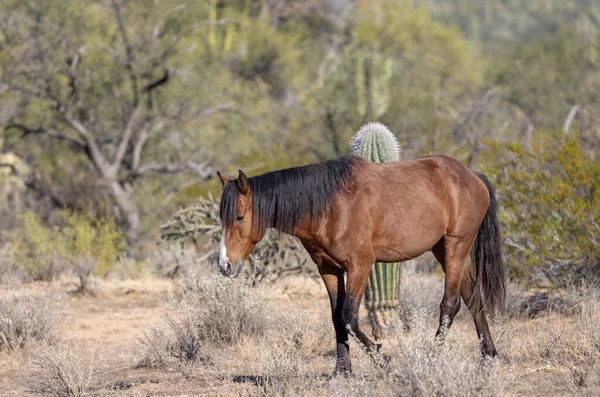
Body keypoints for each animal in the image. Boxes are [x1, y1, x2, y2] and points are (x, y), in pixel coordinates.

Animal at [216, 155, 506, 374]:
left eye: (239, 216)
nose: (224, 265)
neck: (331, 206)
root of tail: (472, 176)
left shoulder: (360, 266)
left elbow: (348, 317)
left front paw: (382, 358)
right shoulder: (329, 269)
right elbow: (336, 318)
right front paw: (341, 371)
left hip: (456, 246)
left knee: (450, 304)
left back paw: (433, 358)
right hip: (441, 249)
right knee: (472, 295)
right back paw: (488, 354)